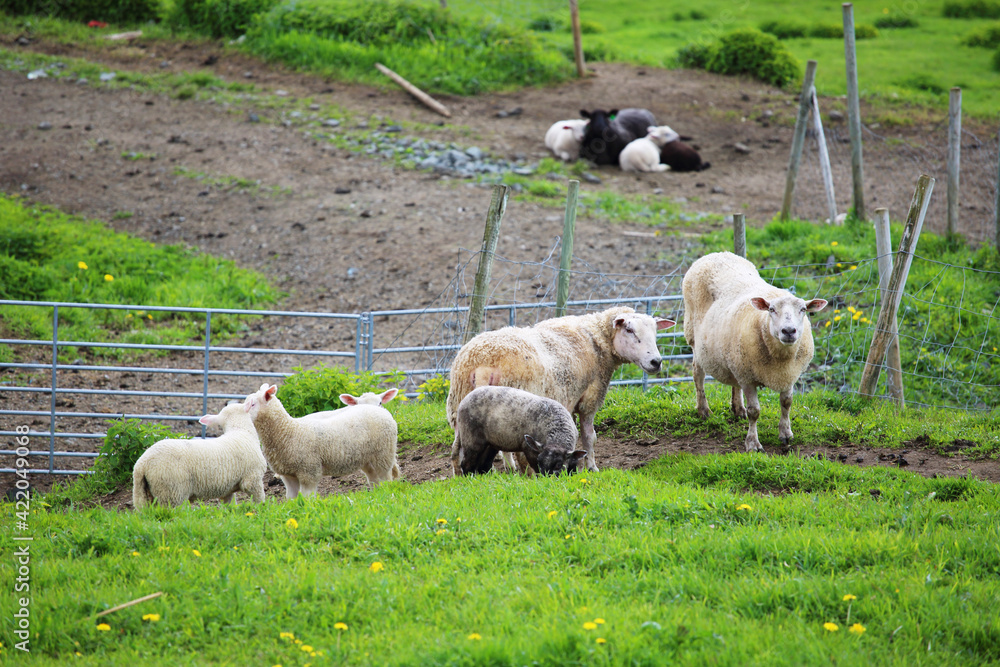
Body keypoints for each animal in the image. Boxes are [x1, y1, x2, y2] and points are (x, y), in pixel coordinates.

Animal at [132, 402, 266, 509]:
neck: (241, 431)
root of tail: (142, 465)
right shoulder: (252, 479)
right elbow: (259, 499)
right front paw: (260, 510)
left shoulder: (228, 488)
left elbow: (230, 504)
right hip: (171, 492)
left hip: (143, 493)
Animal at [242, 383, 399, 498]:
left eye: (252, 404)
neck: (288, 431)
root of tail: (382, 412)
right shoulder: (288, 475)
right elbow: (291, 499)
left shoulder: (309, 472)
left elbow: (307, 498)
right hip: (368, 459)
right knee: (374, 480)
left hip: (384, 455)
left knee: (386, 479)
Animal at [451, 386, 587, 476]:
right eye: (539, 461)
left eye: (558, 464)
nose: (547, 478)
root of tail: (463, 402)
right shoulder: (530, 450)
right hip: (471, 439)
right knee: (467, 464)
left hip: (490, 443)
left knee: (483, 465)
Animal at [682, 252, 827, 452]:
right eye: (771, 309)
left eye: (803, 309)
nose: (789, 331)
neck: (780, 358)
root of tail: (715, 254)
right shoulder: (748, 378)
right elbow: (755, 412)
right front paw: (753, 443)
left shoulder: (789, 374)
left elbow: (786, 403)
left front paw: (785, 434)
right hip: (695, 339)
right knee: (698, 375)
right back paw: (703, 410)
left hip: (734, 357)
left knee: (733, 382)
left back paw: (738, 409)